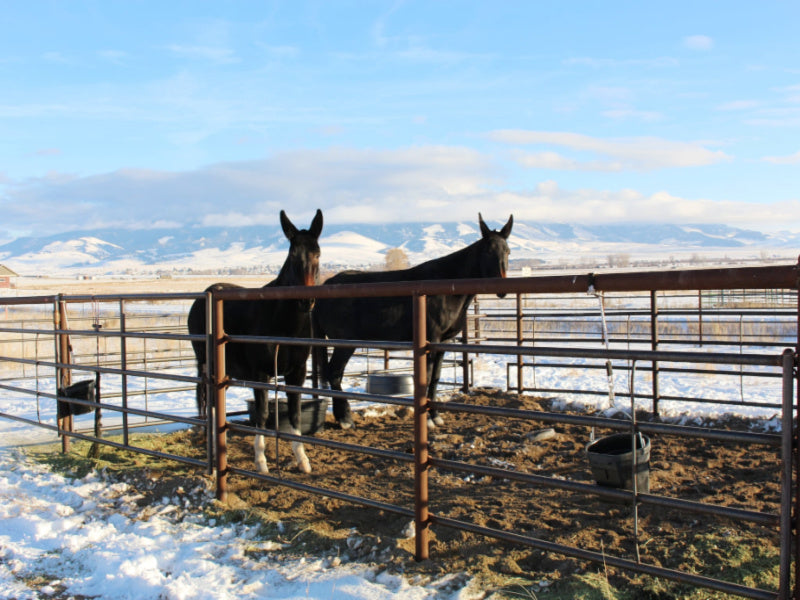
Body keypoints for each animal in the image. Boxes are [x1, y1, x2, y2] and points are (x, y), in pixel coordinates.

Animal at [188, 210, 322, 474]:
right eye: (293, 254)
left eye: (318, 253)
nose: (306, 301)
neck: (284, 324)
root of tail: (203, 297)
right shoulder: (261, 374)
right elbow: (261, 414)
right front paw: (261, 461)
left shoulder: (297, 373)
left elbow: (294, 414)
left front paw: (302, 459)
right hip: (208, 365)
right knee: (208, 402)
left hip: (226, 371)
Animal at [312, 213, 512, 428]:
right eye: (488, 251)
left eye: (507, 251)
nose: (502, 288)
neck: (446, 284)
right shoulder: (430, 340)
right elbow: (426, 376)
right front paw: (428, 420)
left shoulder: (444, 342)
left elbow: (435, 378)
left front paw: (435, 416)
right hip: (344, 344)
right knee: (334, 374)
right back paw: (345, 419)